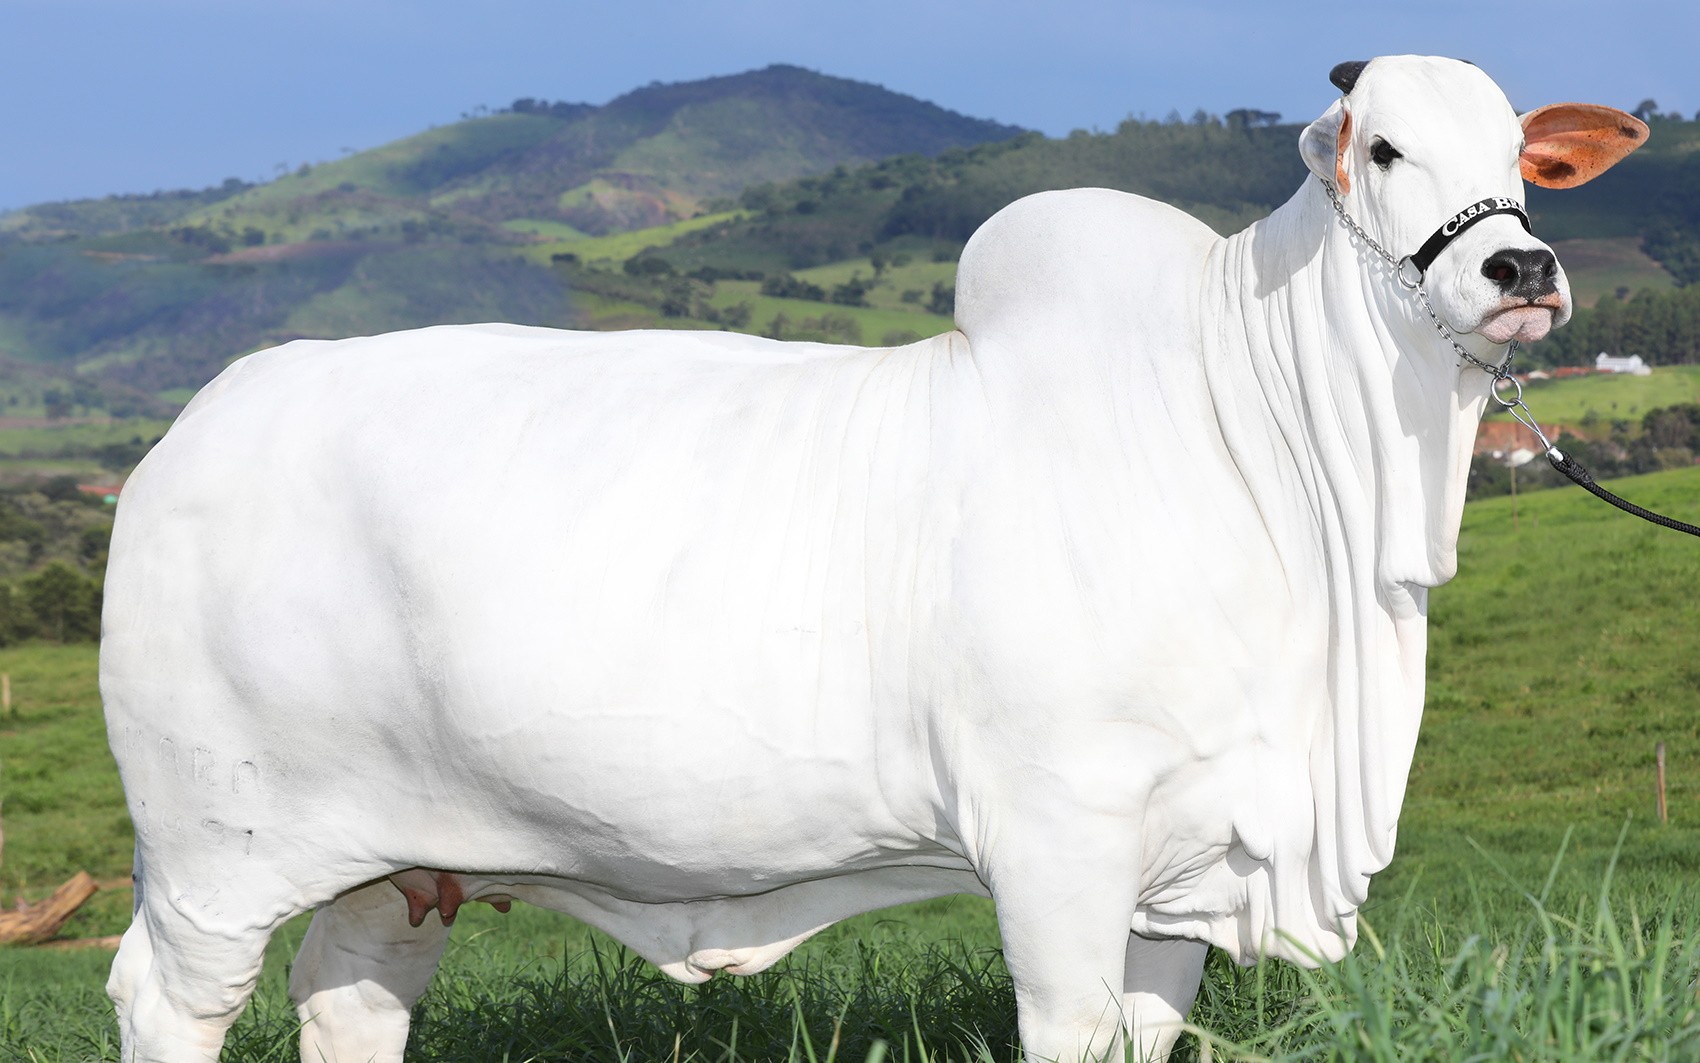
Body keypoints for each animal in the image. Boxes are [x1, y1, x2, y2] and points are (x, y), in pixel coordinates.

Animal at [100, 56, 1644, 1062]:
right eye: (1380, 150)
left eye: (1521, 157)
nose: (1521, 270)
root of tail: (199, 425)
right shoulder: (1057, 838)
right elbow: (1068, 1028)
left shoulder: (1185, 861)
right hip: (212, 851)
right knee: (166, 1001)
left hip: (399, 860)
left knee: (351, 994)